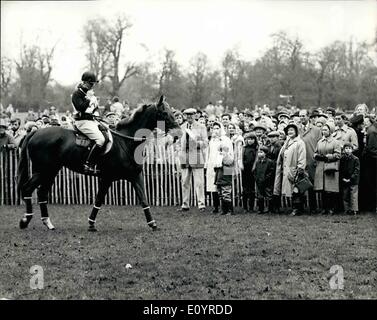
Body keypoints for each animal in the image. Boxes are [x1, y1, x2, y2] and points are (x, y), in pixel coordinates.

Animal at [17, 96, 181, 231]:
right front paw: (91, 224)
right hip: (43, 170)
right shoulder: (107, 178)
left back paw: (48, 223)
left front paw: (152, 223)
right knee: (27, 189)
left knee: (41, 192)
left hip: (51, 171)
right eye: (164, 113)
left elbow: (144, 199)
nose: (178, 134)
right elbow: (99, 199)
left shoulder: (135, 176)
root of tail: (35, 132)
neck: (125, 141)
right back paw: (25, 220)